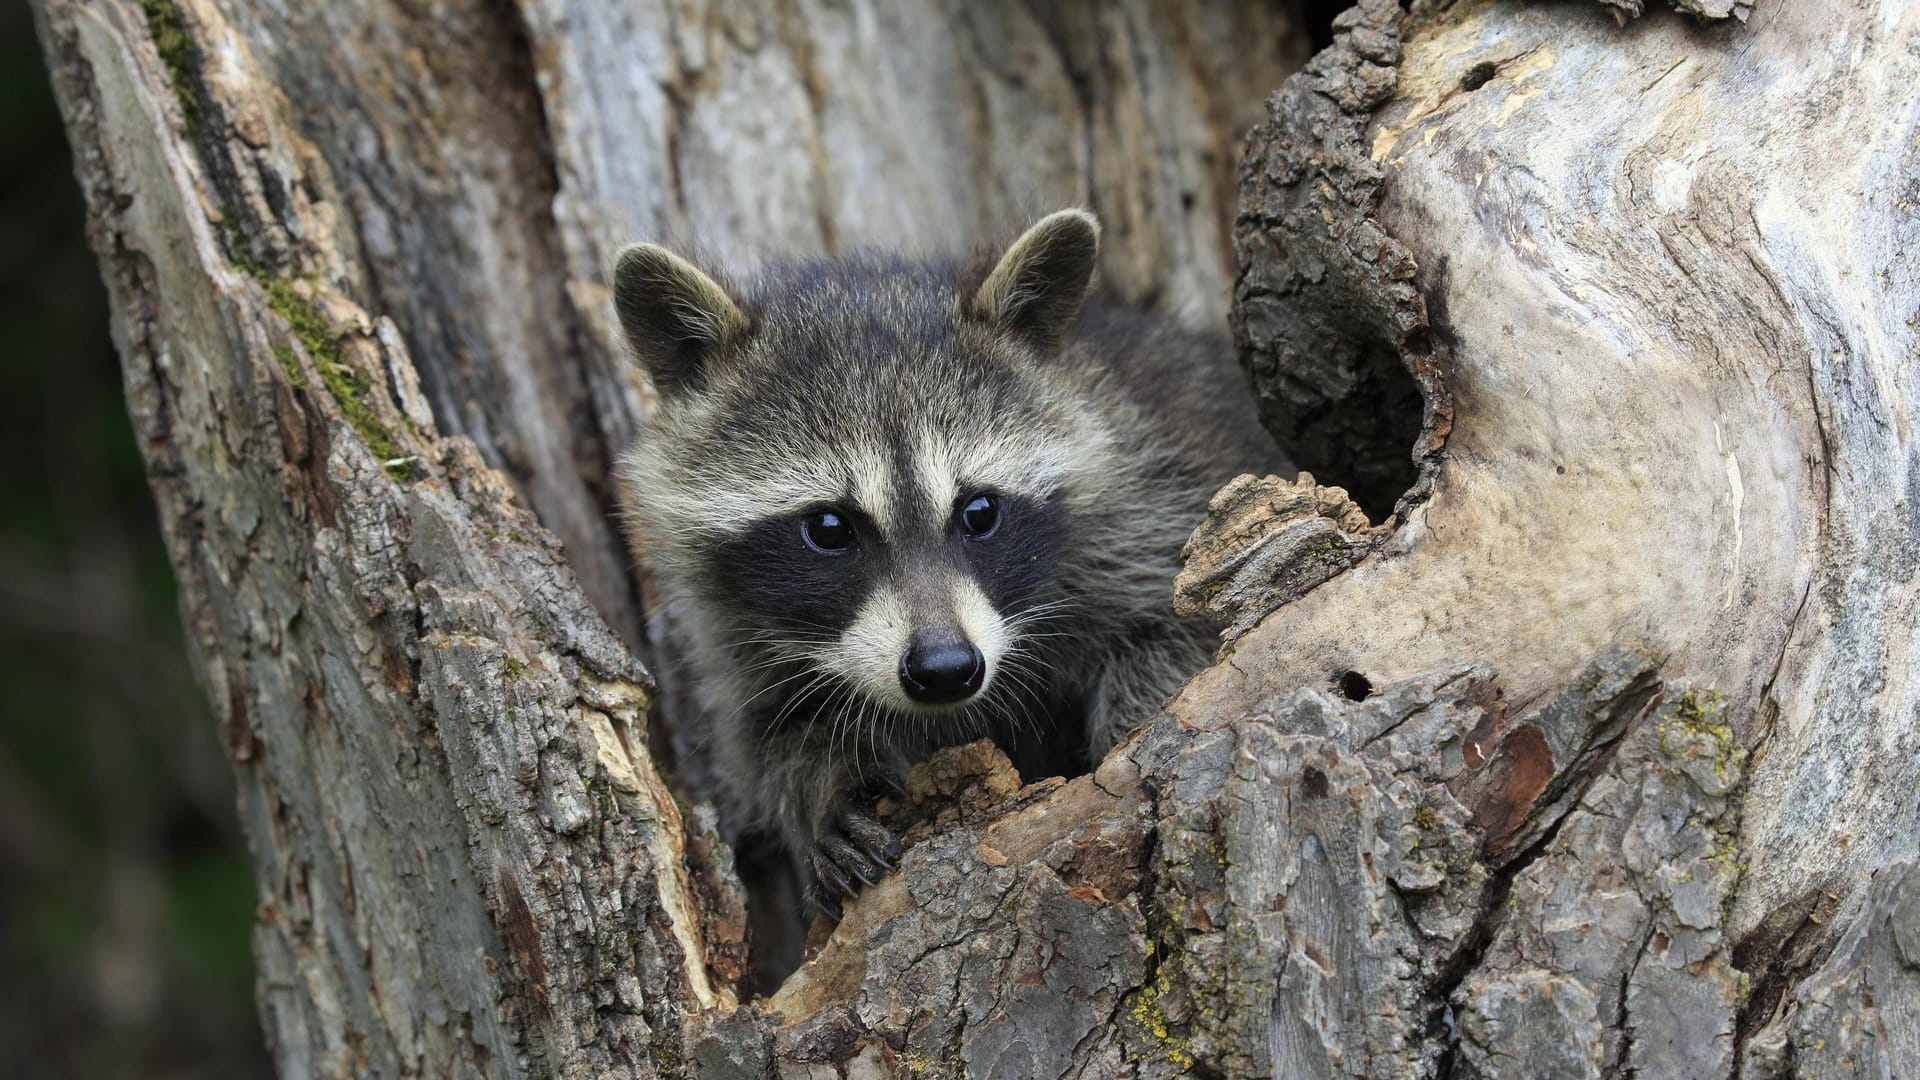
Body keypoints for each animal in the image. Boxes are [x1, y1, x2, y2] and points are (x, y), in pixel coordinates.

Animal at [614, 208, 1274, 907]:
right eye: (829, 528)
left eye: (979, 512)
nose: (946, 668)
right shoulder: (731, 634)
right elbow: (770, 731)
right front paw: (825, 789)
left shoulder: (1148, 504)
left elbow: (1172, 637)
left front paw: (1133, 727)